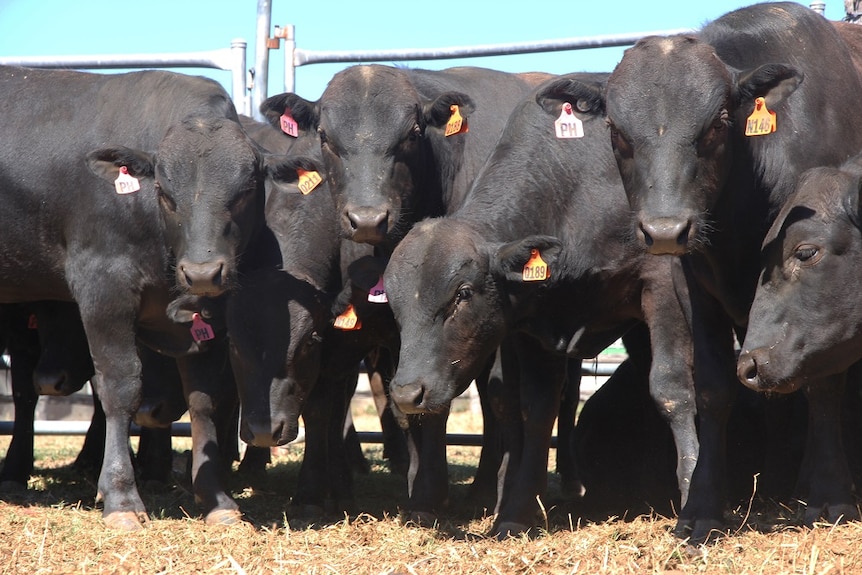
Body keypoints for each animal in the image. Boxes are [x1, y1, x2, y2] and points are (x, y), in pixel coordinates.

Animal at [0, 66, 300, 532]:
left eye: (246, 191)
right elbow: (120, 388)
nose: (202, 272)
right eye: (164, 193)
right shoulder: (103, 289)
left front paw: (215, 498)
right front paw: (121, 497)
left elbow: (202, 400)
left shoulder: (203, 316)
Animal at [384, 73, 704, 540]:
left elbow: (672, 389)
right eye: (395, 306)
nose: (408, 393)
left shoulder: (663, 284)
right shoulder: (536, 325)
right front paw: (515, 512)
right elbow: (536, 411)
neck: (575, 190)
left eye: (462, 293)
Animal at [604, 2, 862, 540]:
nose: (665, 229)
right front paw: (701, 507)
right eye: (617, 131)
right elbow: (715, 388)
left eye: (717, 123)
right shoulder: (694, 287)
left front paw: (829, 496)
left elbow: (824, 383)